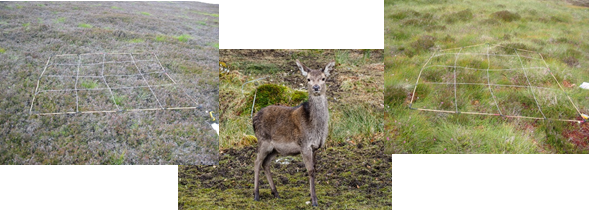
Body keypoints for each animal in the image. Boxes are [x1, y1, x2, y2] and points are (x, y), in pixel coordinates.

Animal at [252, 59, 334, 207]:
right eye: (308, 79)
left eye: (323, 78)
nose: (316, 87)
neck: (316, 127)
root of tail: (253, 119)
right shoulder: (304, 145)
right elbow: (310, 170)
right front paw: (314, 200)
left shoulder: (316, 147)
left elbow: (315, 169)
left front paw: (312, 196)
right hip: (263, 141)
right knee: (257, 162)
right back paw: (256, 195)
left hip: (275, 149)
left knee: (265, 163)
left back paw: (276, 193)